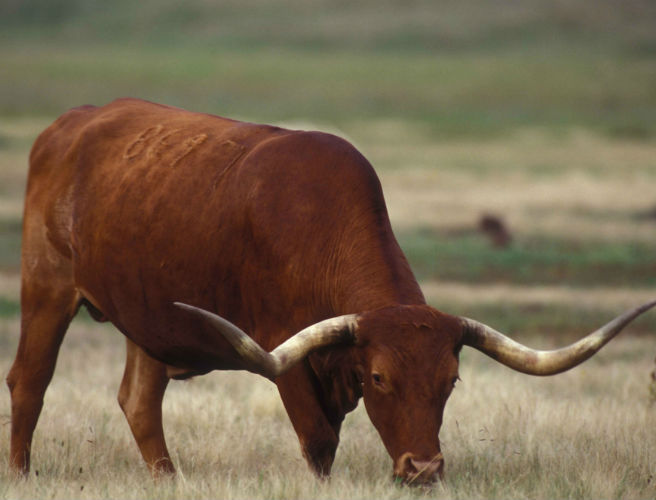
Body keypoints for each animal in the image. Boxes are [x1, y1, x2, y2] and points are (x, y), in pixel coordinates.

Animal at [7, 98, 655, 484]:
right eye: (380, 378)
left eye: (451, 381)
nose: (423, 468)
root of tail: (71, 122)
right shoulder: (283, 351)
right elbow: (318, 442)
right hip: (47, 287)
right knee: (29, 382)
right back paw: (20, 474)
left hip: (143, 314)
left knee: (140, 402)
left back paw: (171, 480)